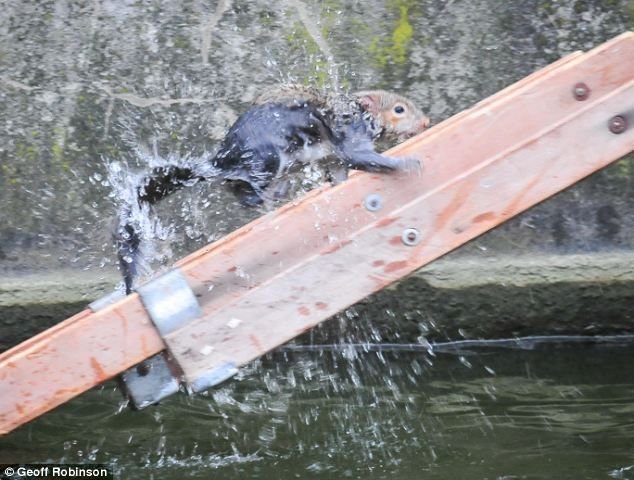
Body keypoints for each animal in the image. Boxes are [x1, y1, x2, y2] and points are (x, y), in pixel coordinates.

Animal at [115, 86, 430, 292]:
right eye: (399, 110)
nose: (426, 122)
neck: (359, 114)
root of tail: (221, 161)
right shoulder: (350, 136)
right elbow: (363, 157)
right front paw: (406, 164)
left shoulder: (333, 159)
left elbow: (339, 173)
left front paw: (339, 184)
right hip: (267, 160)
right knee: (247, 194)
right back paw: (274, 193)